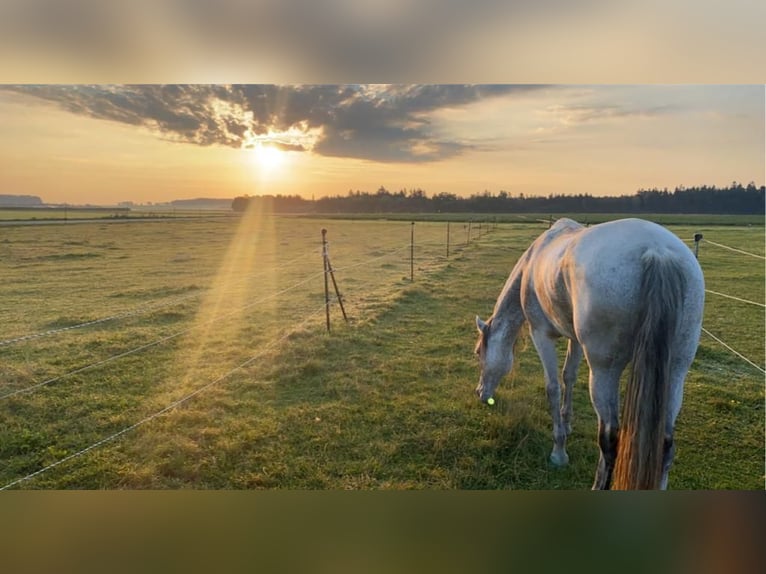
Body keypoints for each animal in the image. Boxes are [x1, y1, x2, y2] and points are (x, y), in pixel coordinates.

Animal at [476, 217, 704, 490]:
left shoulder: (540, 334)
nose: (480, 393)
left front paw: (559, 451)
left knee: (610, 438)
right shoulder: (574, 339)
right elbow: (569, 376)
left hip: (604, 371)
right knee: (666, 445)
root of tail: (656, 251)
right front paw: (567, 424)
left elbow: (553, 387)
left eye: (478, 354)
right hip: (676, 371)